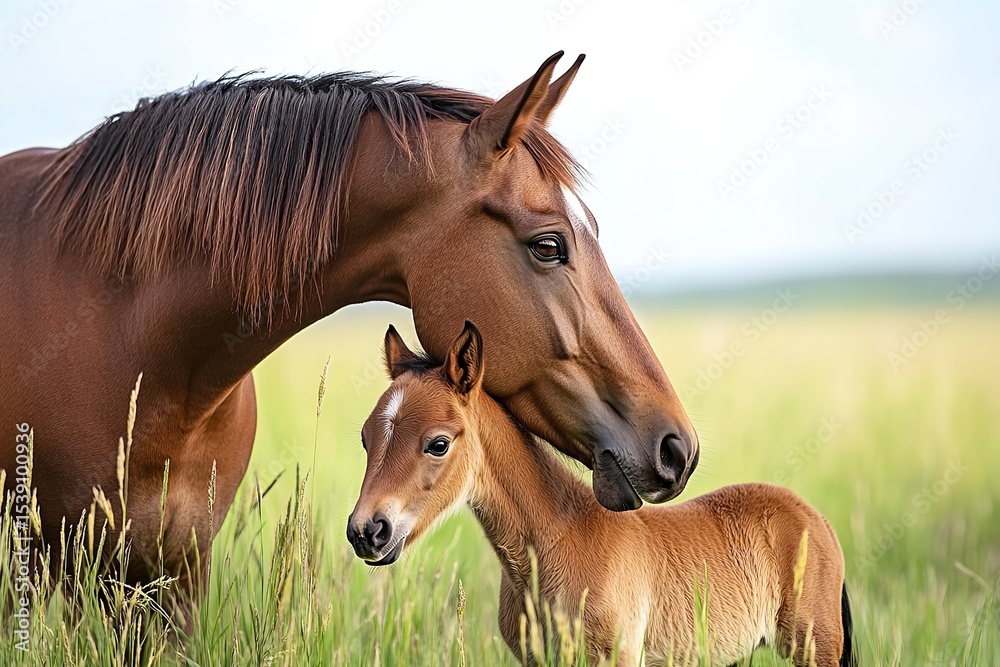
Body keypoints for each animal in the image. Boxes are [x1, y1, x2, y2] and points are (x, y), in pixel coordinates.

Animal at [347, 322, 854, 667]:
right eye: (366, 438)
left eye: (438, 444)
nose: (367, 532)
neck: (557, 543)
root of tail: (818, 520)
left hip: (815, 647)